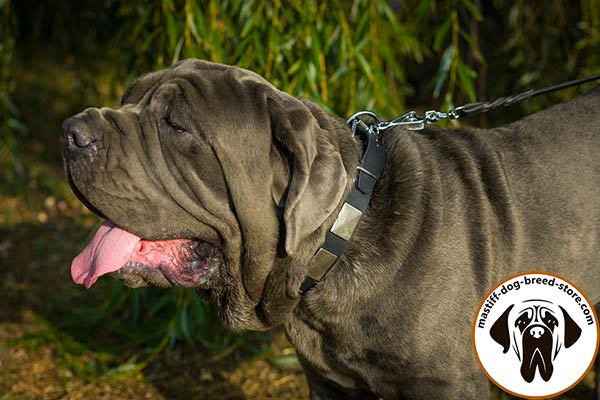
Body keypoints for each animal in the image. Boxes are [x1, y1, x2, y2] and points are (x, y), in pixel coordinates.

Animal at [63, 60, 596, 400]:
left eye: (176, 126)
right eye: (127, 99)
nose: (71, 132)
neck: (338, 241)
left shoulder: (446, 385)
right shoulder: (329, 382)